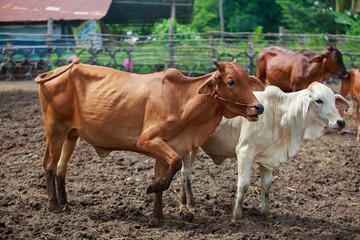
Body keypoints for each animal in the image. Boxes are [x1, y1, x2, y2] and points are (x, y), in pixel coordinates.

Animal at [33, 57, 264, 220]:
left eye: (247, 79)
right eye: (231, 81)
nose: (258, 107)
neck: (182, 100)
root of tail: (55, 71)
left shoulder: (167, 147)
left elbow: (165, 173)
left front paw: (158, 215)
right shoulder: (147, 141)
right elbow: (174, 164)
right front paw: (153, 188)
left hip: (71, 135)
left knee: (61, 168)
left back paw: (65, 203)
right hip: (55, 130)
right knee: (49, 165)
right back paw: (53, 205)